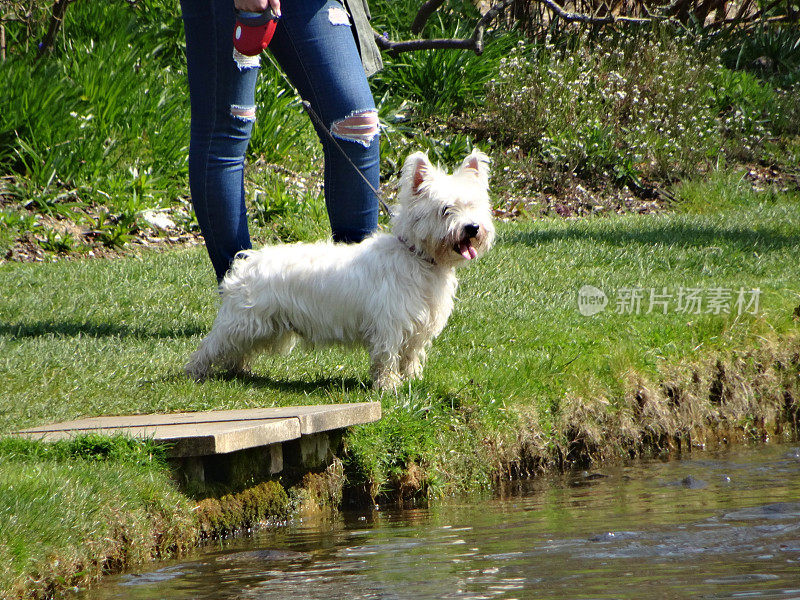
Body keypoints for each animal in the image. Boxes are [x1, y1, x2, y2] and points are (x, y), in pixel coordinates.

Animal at [186, 150, 494, 390]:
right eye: (445, 209)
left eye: (474, 206)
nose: (472, 228)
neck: (417, 258)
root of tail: (248, 261)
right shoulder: (389, 324)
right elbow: (387, 356)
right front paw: (389, 387)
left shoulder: (418, 327)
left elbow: (410, 356)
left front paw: (412, 380)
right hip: (243, 321)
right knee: (212, 344)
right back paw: (196, 372)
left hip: (264, 327)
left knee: (238, 350)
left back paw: (239, 370)